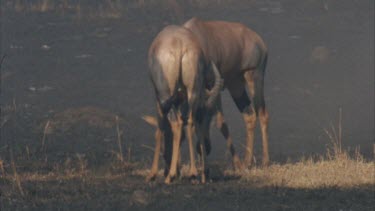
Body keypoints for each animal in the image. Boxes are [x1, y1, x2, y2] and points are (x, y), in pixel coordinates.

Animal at [147, 24, 223, 183]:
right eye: (208, 117)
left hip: (165, 94)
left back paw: (169, 176)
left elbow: (161, 128)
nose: (206, 147)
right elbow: (185, 128)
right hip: (192, 91)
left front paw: (154, 174)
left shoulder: (159, 97)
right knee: (188, 122)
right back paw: (195, 173)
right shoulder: (182, 101)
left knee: (175, 123)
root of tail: (179, 46)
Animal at [184, 17, 270, 166]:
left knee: (262, 113)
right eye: (194, 120)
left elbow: (221, 123)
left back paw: (265, 161)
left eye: (209, 116)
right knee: (250, 115)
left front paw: (237, 165)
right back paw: (247, 162)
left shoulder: (213, 85)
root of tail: (259, 40)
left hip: (254, 76)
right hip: (235, 86)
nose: (205, 148)